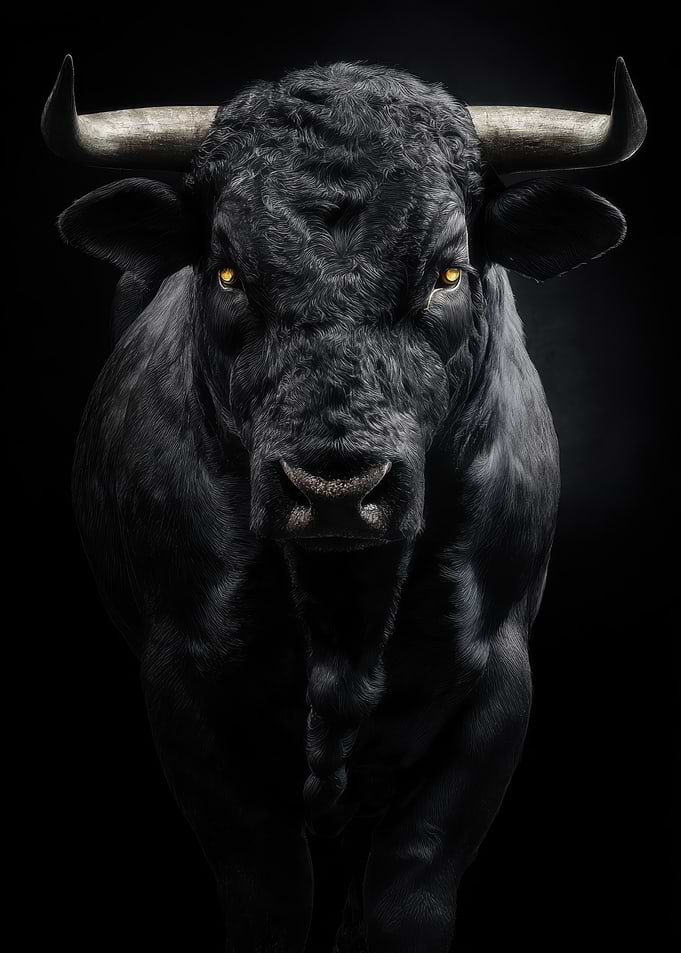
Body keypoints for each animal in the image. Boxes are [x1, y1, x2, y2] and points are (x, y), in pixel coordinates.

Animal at [42, 55, 646, 953]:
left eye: (447, 270)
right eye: (227, 270)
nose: (334, 488)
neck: (346, 619)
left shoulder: (498, 678)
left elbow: (407, 886)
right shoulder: (181, 679)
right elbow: (267, 887)